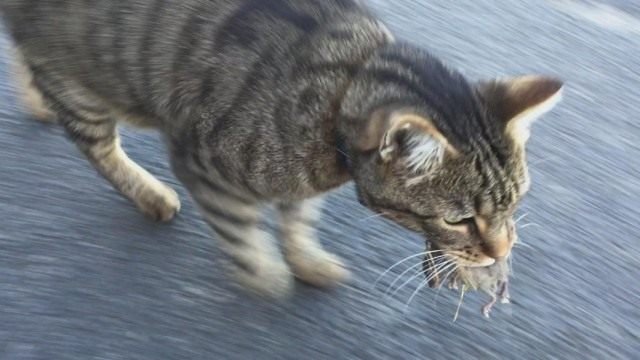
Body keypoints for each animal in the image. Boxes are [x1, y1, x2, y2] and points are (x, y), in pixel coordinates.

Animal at [0, 0, 560, 298]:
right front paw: (265, 275)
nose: (502, 250)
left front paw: (307, 261)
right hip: (92, 90)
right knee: (95, 144)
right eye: (458, 220)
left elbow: (298, 221)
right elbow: (242, 232)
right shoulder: (199, 159)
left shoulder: (301, 185)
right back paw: (149, 193)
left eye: (514, 203)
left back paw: (34, 98)